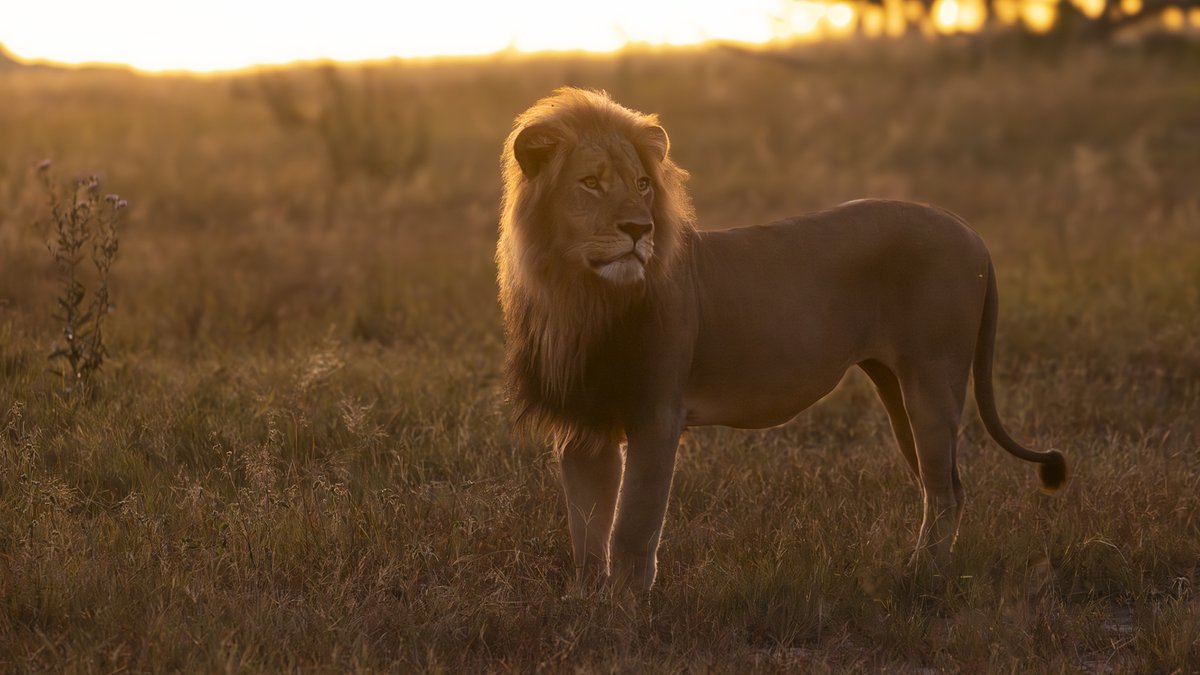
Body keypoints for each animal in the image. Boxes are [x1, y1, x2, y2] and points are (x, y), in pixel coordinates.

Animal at [498, 87, 1067, 592]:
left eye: (641, 184)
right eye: (590, 182)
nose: (640, 230)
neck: (581, 296)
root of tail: (969, 230)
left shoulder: (656, 415)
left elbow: (631, 531)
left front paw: (627, 613)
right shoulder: (583, 425)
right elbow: (587, 535)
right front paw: (588, 607)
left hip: (933, 380)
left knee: (945, 491)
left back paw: (918, 579)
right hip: (898, 388)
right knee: (945, 485)